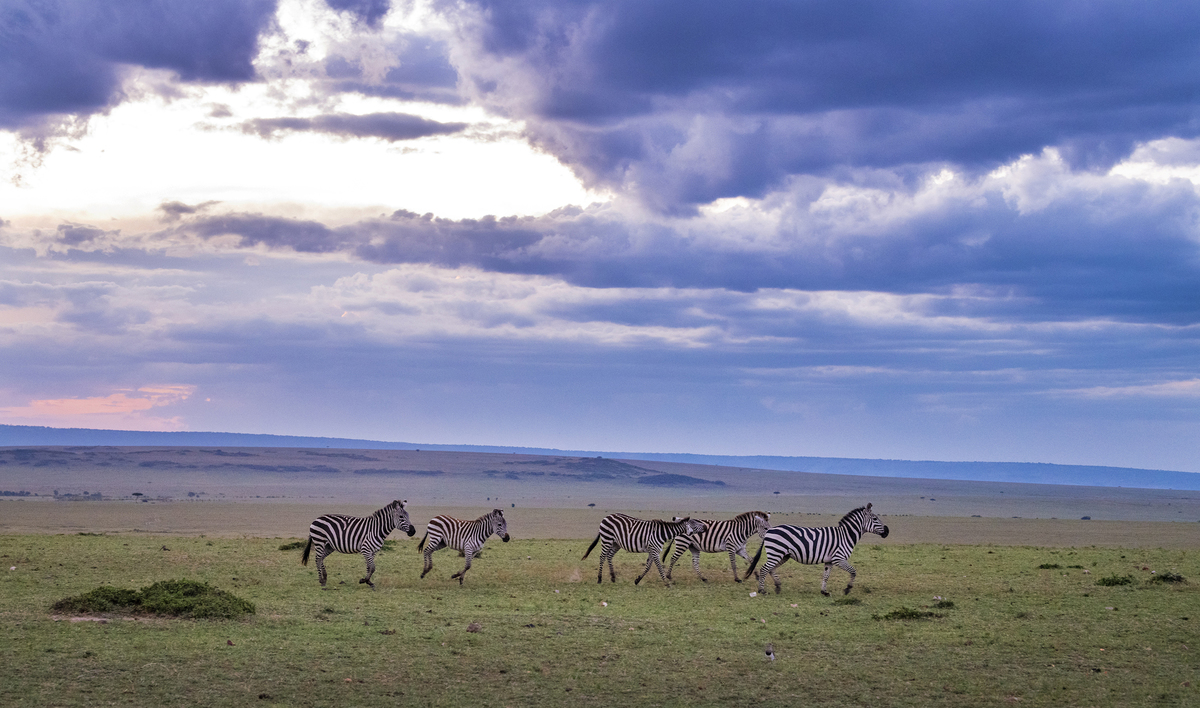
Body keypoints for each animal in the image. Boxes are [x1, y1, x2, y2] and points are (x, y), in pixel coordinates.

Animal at [744, 503, 889, 596]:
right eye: (875, 518)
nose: (887, 531)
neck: (846, 535)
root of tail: (769, 531)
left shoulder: (830, 561)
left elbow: (826, 576)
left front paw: (824, 592)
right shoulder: (839, 558)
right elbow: (853, 571)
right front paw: (847, 589)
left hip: (783, 555)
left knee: (771, 569)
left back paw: (778, 586)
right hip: (776, 552)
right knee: (764, 568)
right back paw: (762, 590)